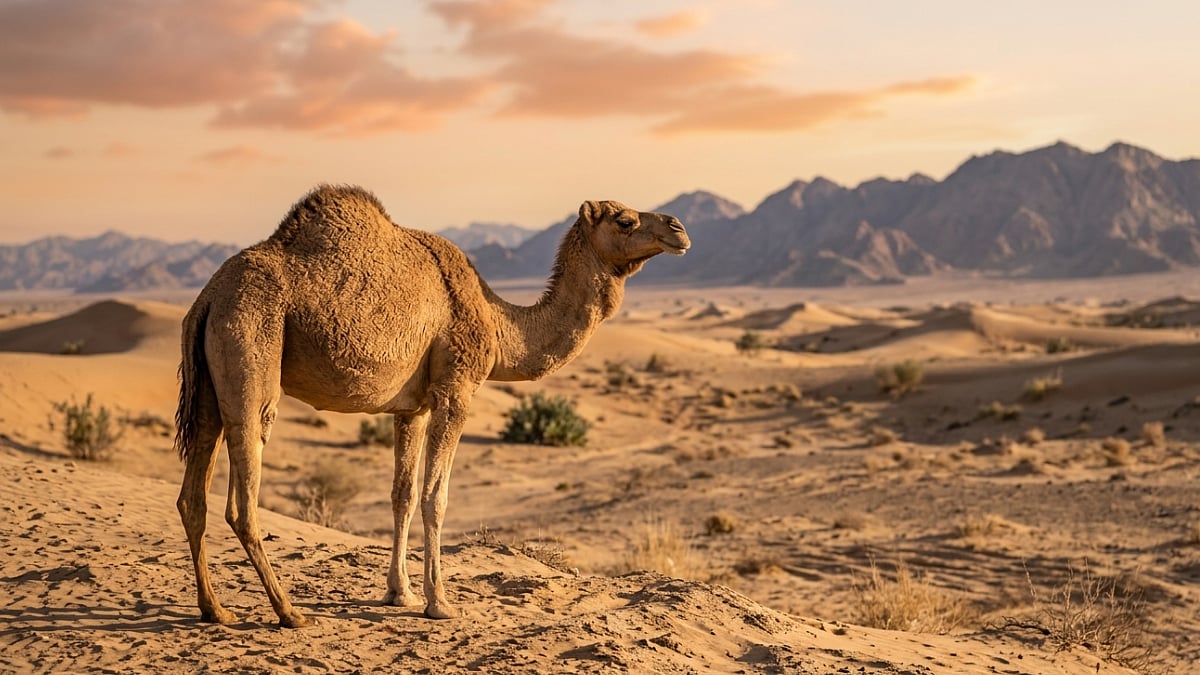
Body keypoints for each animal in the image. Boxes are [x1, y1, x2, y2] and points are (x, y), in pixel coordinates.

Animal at [174, 185, 690, 627]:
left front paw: (398, 593)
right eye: (625, 220)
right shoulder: (455, 390)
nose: (678, 228)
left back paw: (215, 609)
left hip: (209, 385)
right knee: (242, 499)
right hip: (252, 345)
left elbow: (401, 494)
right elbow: (435, 497)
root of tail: (207, 297)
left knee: (192, 494)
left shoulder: (412, 407)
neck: (499, 325)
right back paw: (290, 612)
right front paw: (439, 602)